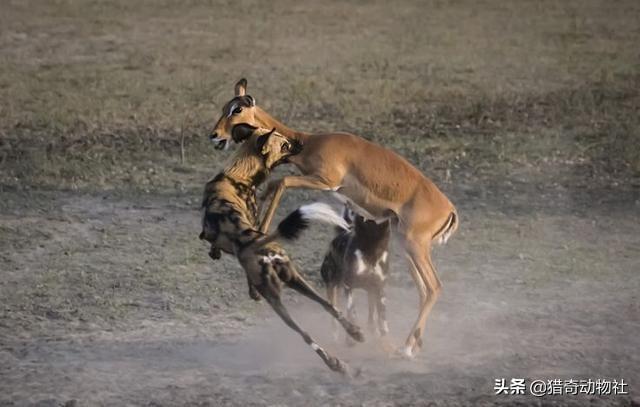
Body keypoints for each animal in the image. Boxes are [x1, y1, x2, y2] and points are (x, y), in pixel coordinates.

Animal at [198, 125, 362, 376]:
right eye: (285, 145)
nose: (301, 144)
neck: (238, 175)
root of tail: (260, 244)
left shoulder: (216, 233)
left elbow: (212, 243)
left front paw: (216, 255)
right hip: (296, 278)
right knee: (328, 305)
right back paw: (353, 335)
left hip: (275, 300)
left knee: (305, 334)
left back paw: (334, 363)